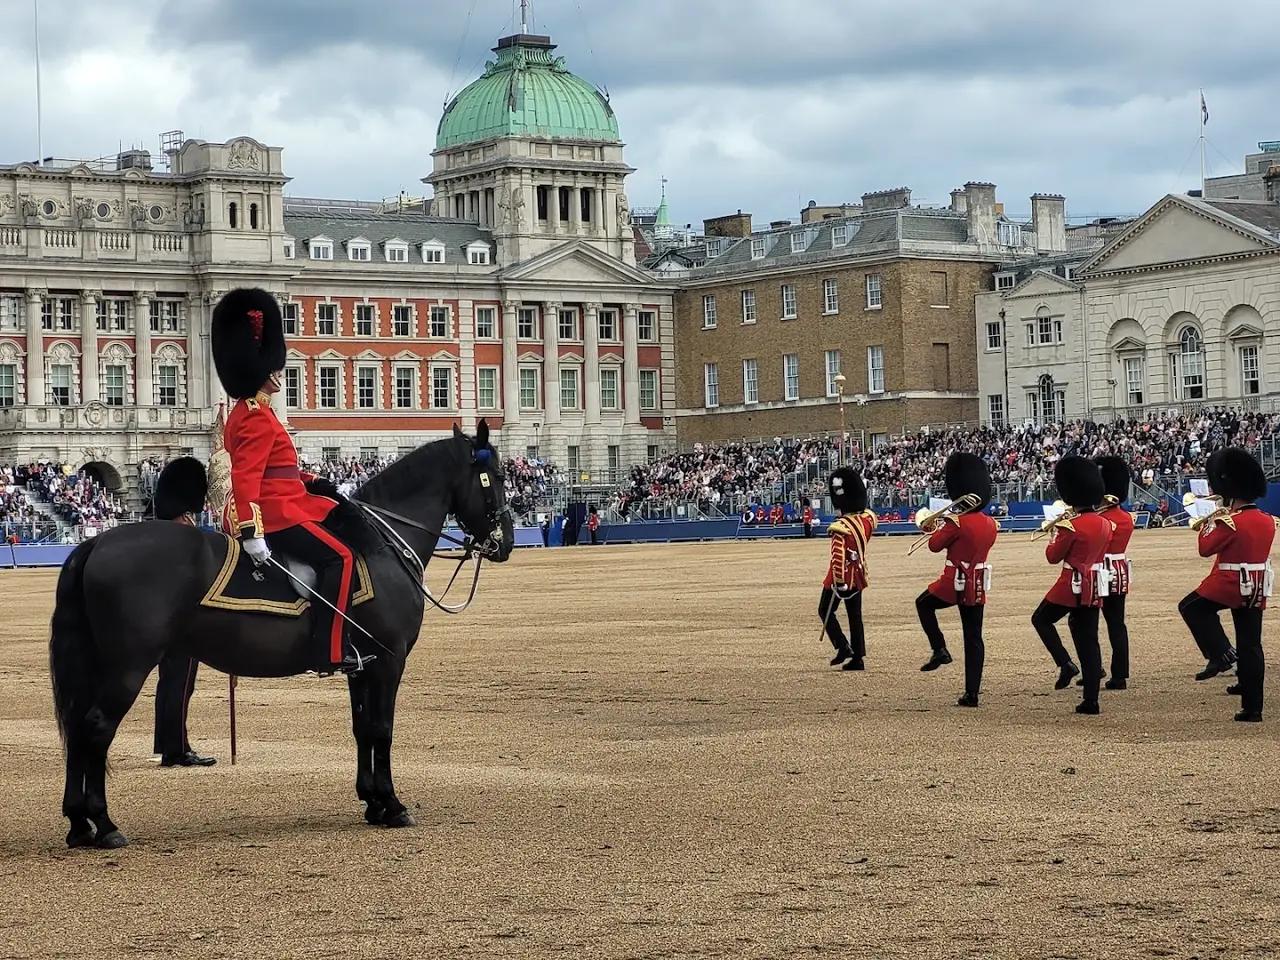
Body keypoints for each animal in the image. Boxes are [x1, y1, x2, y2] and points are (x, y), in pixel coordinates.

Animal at [49, 421, 514, 849]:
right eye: (498, 477)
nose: (506, 542)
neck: (379, 546)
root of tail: (95, 544)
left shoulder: (361, 665)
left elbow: (362, 728)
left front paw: (372, 801)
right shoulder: (389, 659)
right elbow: (382, 728)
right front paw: (392, 805)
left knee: (78, 727)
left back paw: (78, 824)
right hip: (128, 666)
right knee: (96, 728)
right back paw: (104, 824)